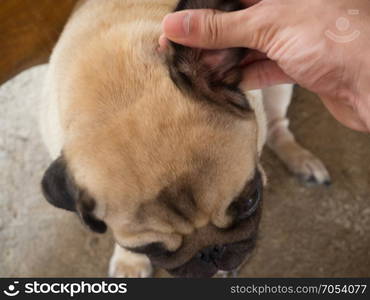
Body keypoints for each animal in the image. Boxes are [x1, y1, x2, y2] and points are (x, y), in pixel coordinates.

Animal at [39, 0, 330, 278]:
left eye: (251, 200)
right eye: (150, 248)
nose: (210, 250)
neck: (118, 87)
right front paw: (129, 261)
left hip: (280, 86)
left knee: (277, 127)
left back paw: (299, 158)